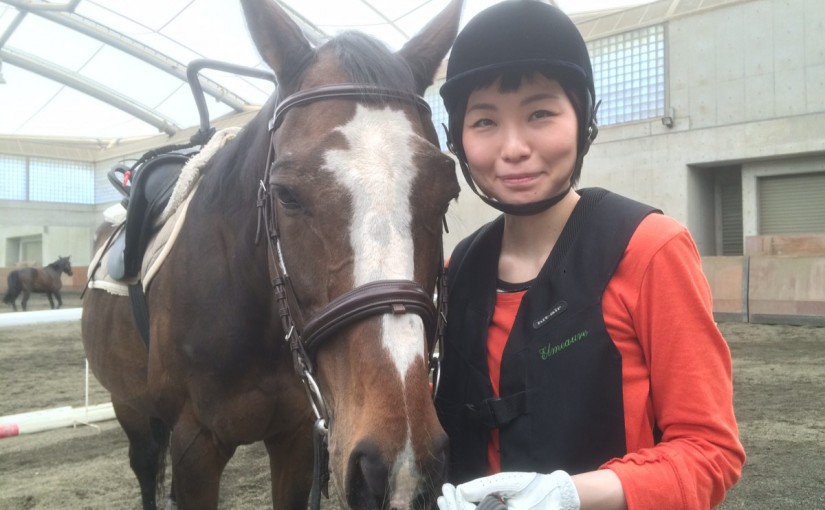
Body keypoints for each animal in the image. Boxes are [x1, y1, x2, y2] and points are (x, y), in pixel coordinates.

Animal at [81, 0, 463, 508]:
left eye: (447, 193)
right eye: (286, 194)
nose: (397, 464)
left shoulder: (296, 438)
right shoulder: (194, 447)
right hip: (131, 407)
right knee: (144, 467)